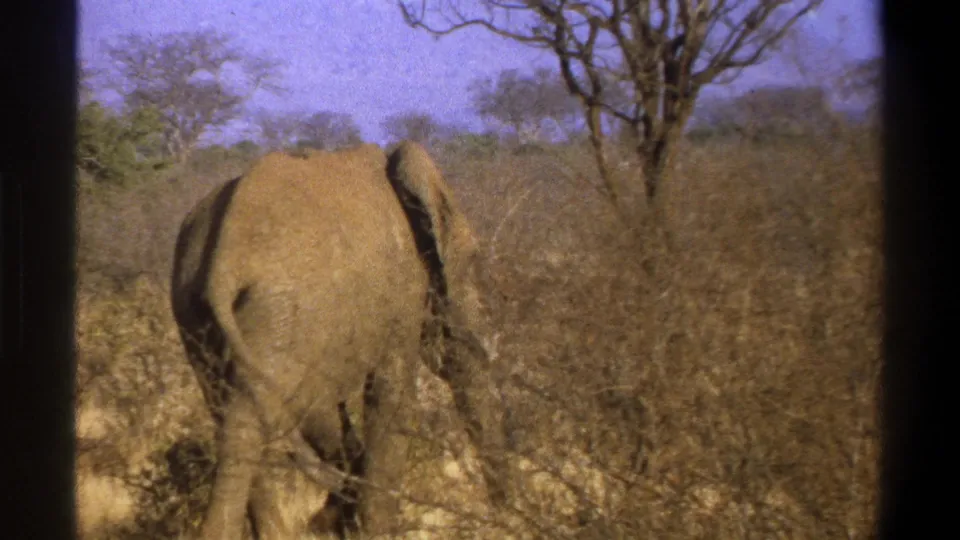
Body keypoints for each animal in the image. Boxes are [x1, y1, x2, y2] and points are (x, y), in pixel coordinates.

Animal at [170, 141, 510, 539]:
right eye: (473, 266)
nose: (504, 516)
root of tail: (223, 265)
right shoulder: (402, 289)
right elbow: (393, 400)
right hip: (289, 316)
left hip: (204, 316)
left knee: (245, 424)